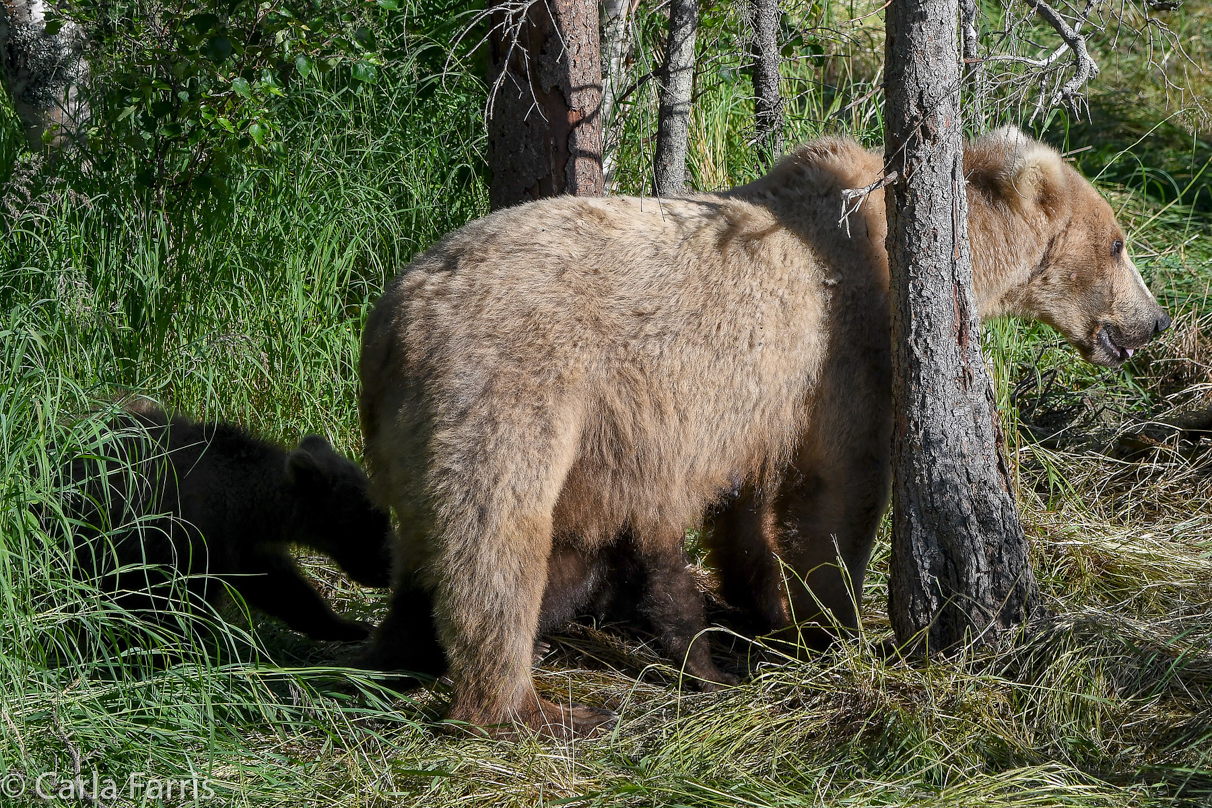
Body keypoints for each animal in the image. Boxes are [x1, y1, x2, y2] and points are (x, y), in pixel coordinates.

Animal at [61, 407, 392, 639]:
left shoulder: (243, 547)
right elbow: (173, 605)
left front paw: (348, 626)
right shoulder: (185, 538)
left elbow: (283, 589)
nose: (387, 572)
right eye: (369, 523)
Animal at [356, 126, 1163, 741]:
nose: (1152, 321)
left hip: (407, 430)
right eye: (1119, 243)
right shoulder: (845, 347)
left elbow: (748, 505)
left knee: (424, 543)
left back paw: (396, 651)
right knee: (496, 543)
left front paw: (764, 606)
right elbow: (837, 492)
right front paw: (832, 620)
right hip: (508, 393)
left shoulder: (759, 406)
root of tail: (391, 321)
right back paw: (531, 707)